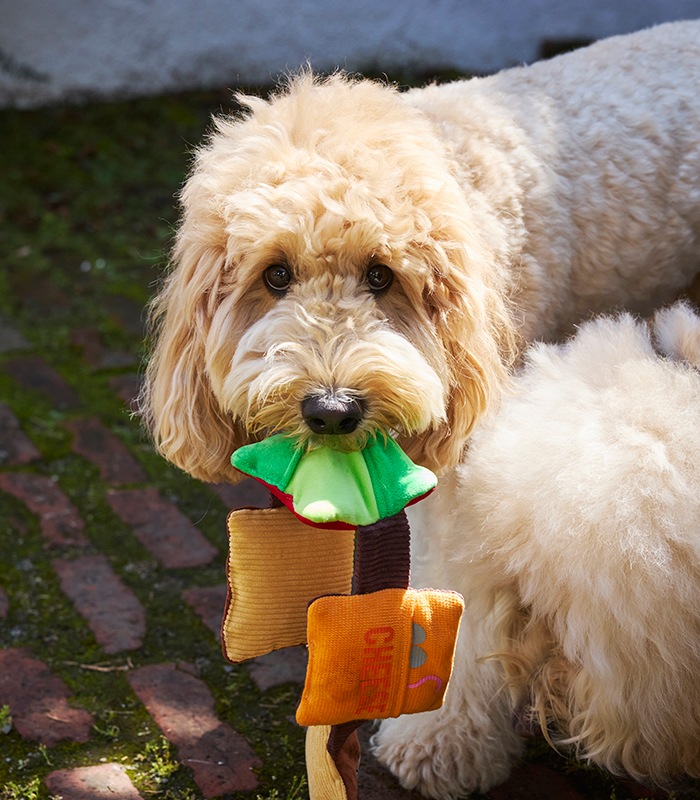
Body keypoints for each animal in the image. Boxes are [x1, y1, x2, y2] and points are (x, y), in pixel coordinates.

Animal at [141, 18, 700, 800]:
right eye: (274, 275)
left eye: (383, 276)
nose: (332, 409)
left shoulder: (474, 475)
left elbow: (463, 596)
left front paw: (439, 737)